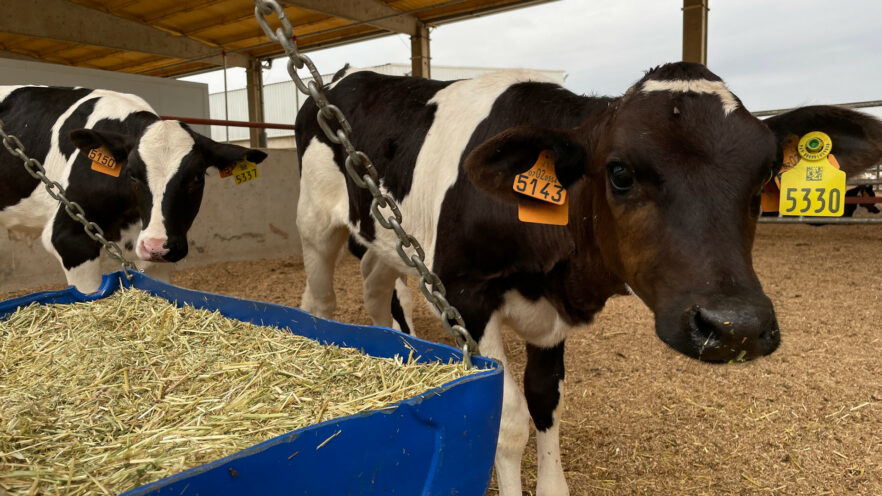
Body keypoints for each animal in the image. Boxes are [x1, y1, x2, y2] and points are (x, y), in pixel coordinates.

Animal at [296, 64, 880, 494]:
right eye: (619, 172)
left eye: (766, 175)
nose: (735, 327)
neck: (555, 277)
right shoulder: (467, 295)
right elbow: (508, 420)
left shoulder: (551, 316)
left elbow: (545, 401)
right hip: (316, 224)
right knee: (318, 299)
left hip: (384, 235)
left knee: (376, 283)